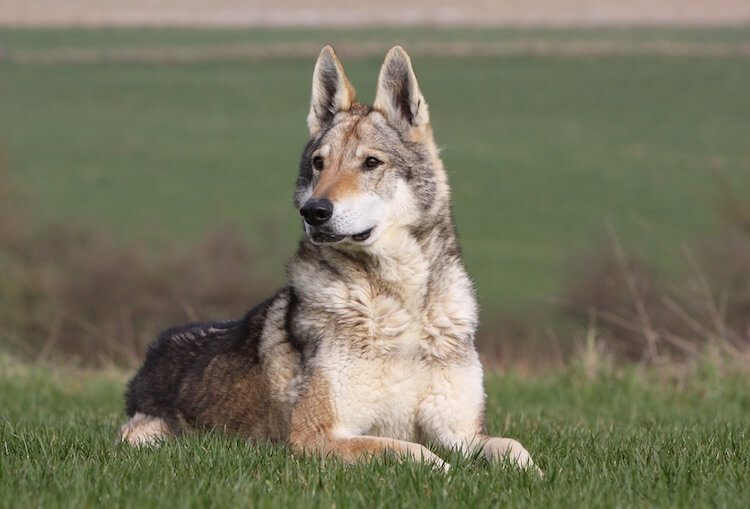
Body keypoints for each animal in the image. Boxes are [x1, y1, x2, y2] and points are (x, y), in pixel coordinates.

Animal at [120, 45, 536, 470]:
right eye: (319, 163)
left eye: (371, 163)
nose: (314, 211)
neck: (398, 308)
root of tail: (148, 359)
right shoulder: (316, 436)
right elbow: (414, 452)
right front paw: (448, 473)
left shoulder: (463, 433)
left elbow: (516, 450)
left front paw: (528, 474)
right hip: (149, 440)